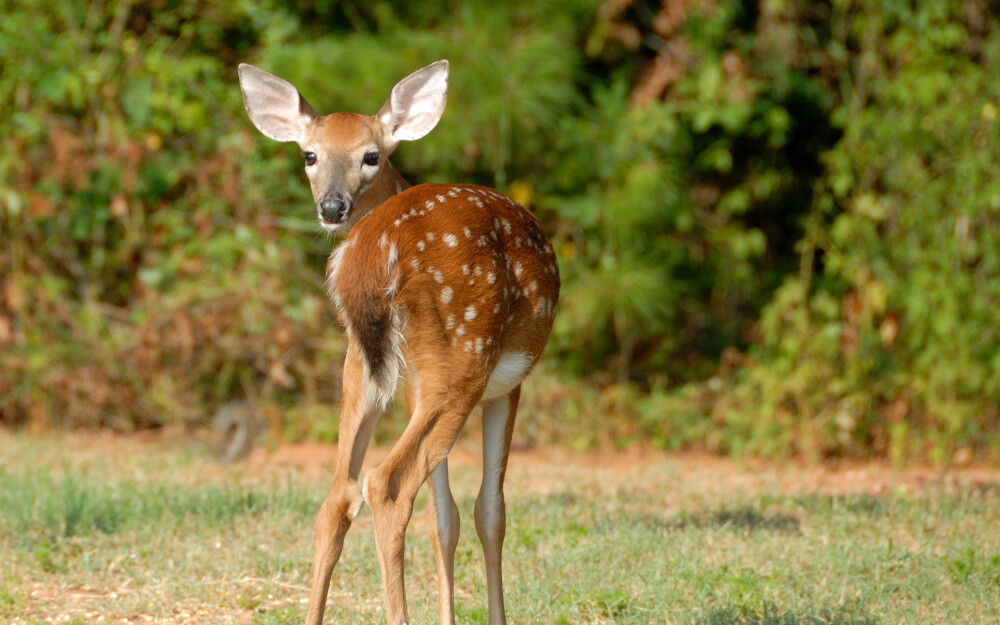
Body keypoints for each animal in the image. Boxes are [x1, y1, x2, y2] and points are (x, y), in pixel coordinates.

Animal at [237, 59, 560, 624]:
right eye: (309, 155)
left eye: (371, 155)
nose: (332, 206)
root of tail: (371, 253)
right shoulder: (508, 383)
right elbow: (489, 509)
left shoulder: (409, 385)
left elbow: (445, 516)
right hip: (464, 357)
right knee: (386, 485)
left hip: (360, 365)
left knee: (338, 494)